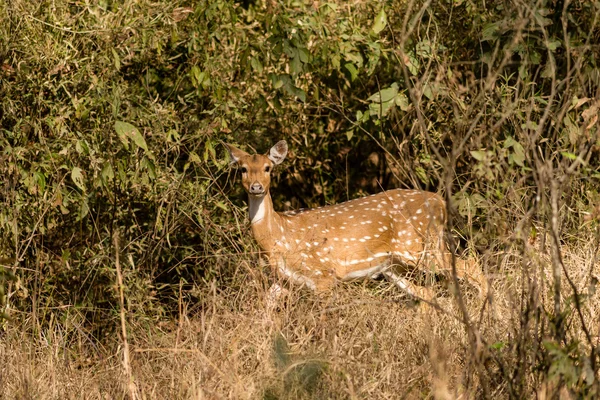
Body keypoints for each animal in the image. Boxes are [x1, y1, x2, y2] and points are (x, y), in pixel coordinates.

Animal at [226, 139, 488, 298]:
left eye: (268, 168)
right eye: (243, 169)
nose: (256, 187)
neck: (279, 235)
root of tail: (440, 202)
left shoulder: (323, 274)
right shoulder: (283, 280)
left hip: (420, 247)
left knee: (471, 265)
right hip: (394, 266)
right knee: (428, 293)